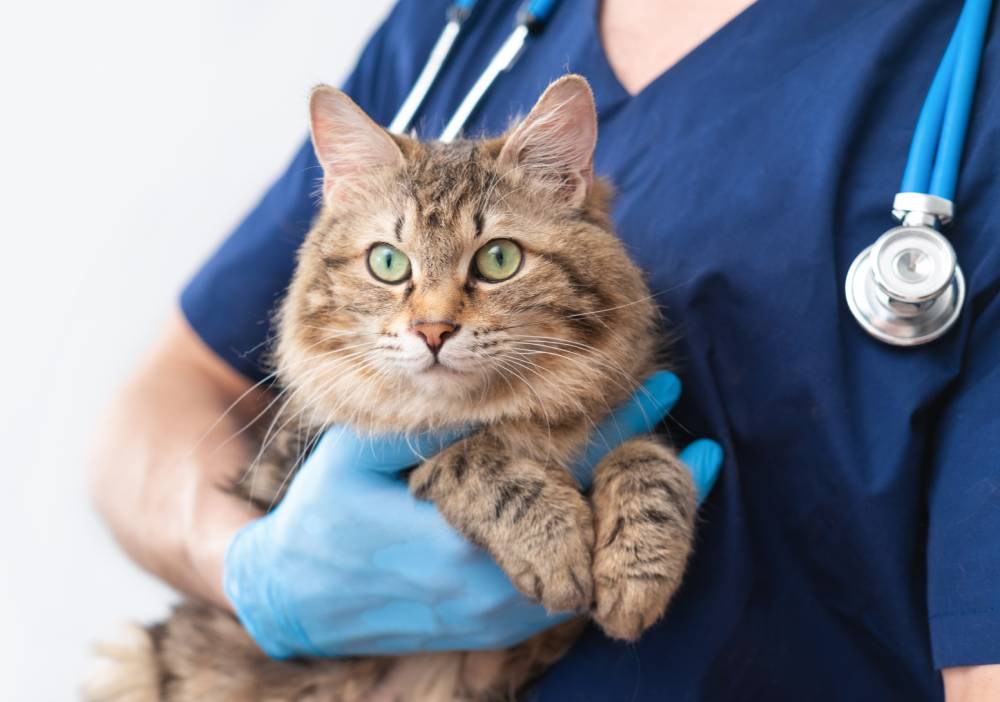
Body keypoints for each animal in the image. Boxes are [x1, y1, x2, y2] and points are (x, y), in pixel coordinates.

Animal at [84, 75, 696, 702]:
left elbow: (649, 461)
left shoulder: (628, 409)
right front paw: (555, 543)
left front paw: (637, 573)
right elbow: (468, 457)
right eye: (387, 262)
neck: (506, 414)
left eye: (499, 259)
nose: (433, 330)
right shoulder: (313, 464)